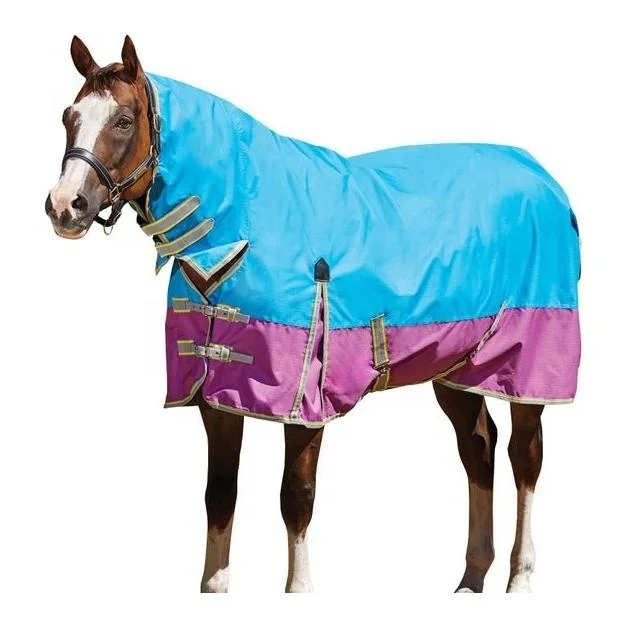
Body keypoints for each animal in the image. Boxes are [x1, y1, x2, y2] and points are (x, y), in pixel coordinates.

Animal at [45, 36, 580, 593]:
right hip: (456, 366)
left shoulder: (303, 402)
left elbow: (296, 498)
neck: (241, 231)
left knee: (525, 457)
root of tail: (544, 178)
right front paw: (215, 584)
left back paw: (519, 578)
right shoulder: (218, 397)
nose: (64, 206)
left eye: (124, 120)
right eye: (69, 116)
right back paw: (471, 579)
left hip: (527, 364)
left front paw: (298, 589)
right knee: (478, 448)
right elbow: (220, 495)